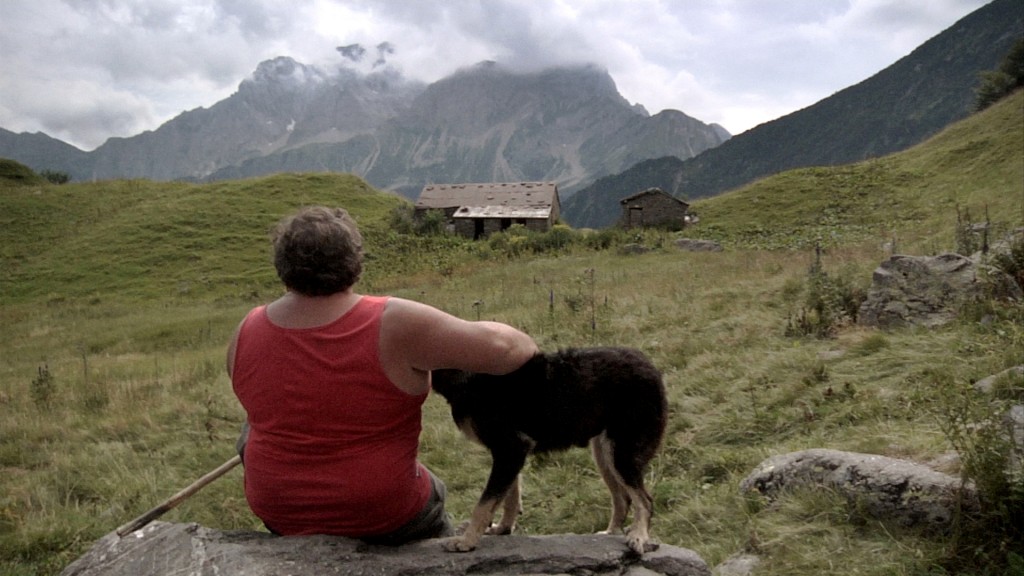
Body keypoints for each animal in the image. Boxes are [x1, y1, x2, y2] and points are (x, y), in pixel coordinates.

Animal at [428, 344, 667, 553]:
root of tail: (651, 367)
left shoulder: (510, 449)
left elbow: (484, 504)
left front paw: (466, 541)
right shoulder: (510, 455)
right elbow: (510, 498)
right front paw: (503, 529)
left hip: (619, 454)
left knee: (644, 501)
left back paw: (638, 536)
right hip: (603, 454)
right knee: (623, 499)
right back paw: (610, 533)